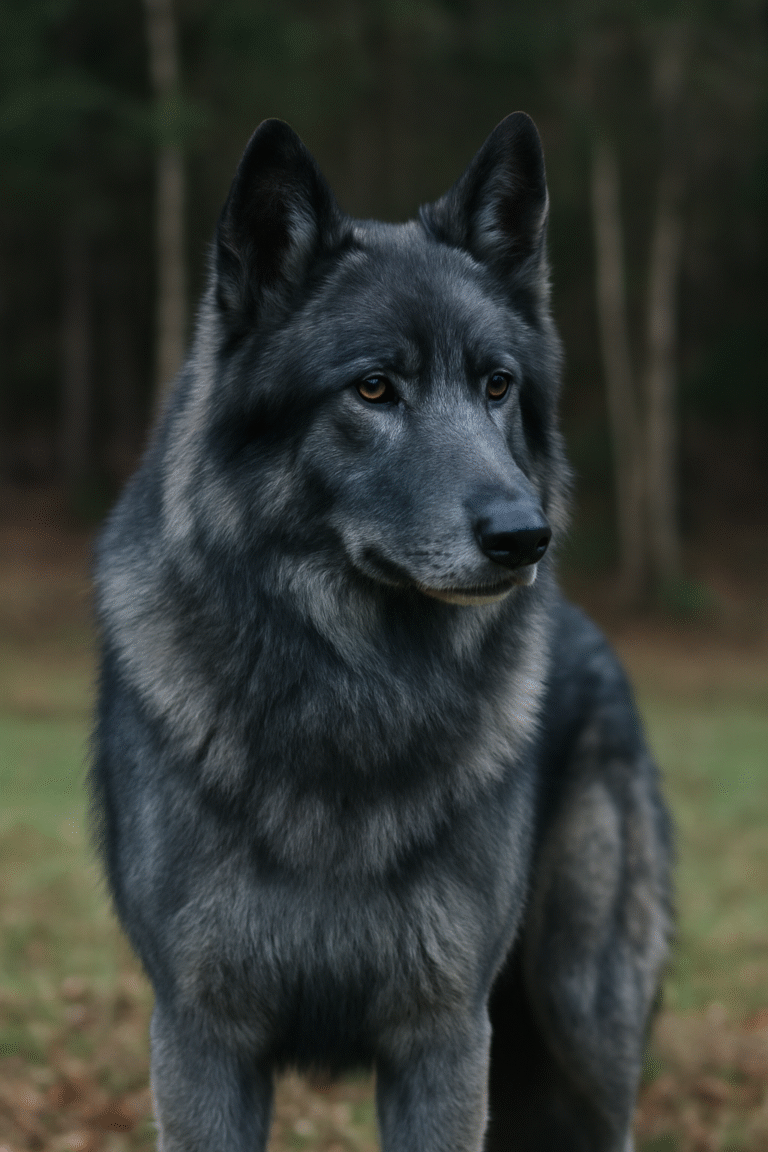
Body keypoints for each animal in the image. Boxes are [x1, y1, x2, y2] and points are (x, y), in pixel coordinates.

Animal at [92, 112, 672, 1151]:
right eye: (372, 390)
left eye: (496, 386)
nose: (526, 536)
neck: (357, 699)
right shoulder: (204, 1038)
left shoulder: (442, 1036)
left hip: (579, 1031)